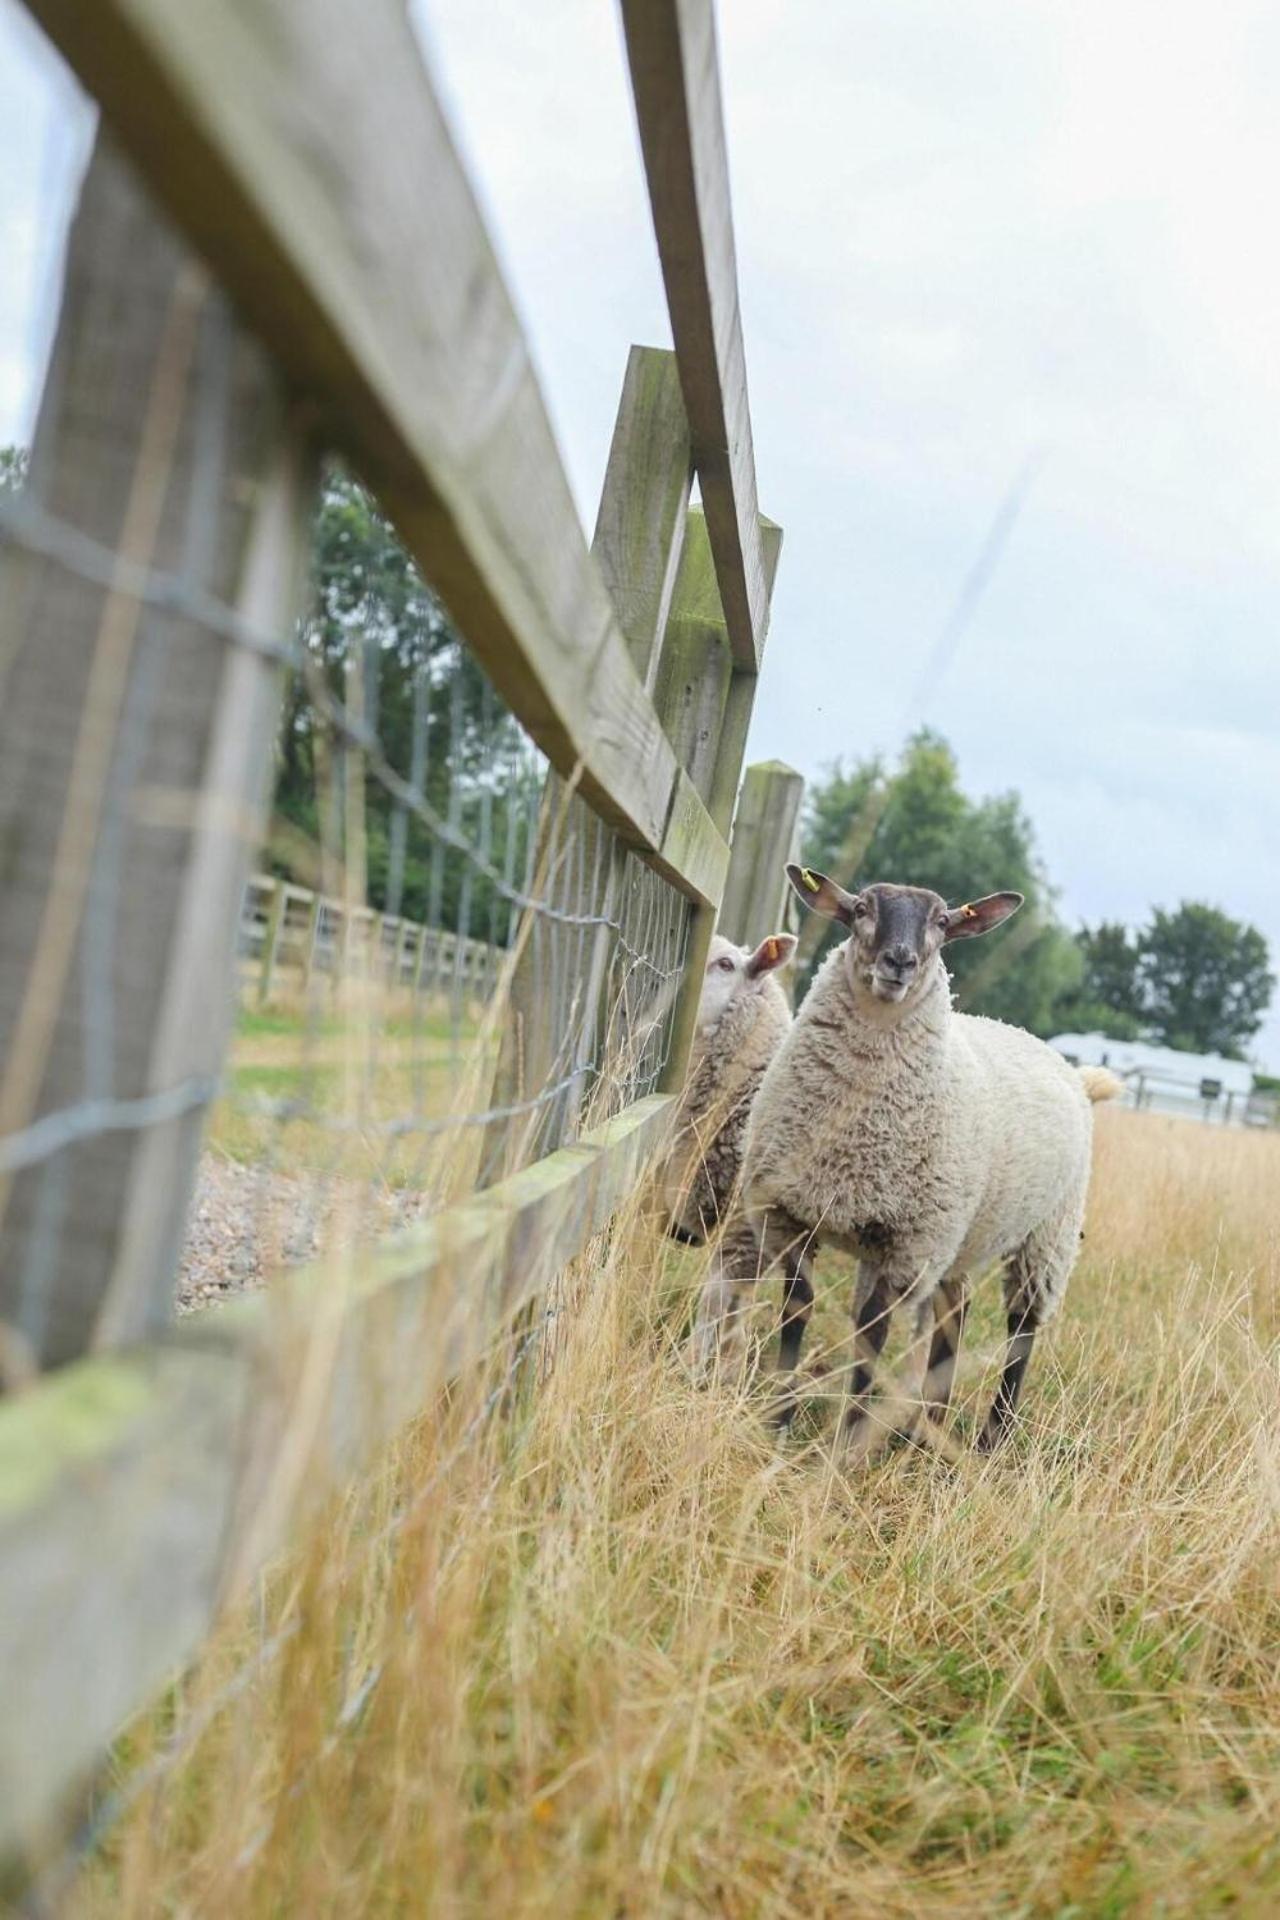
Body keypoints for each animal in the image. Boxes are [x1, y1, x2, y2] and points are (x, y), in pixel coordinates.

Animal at [694, 871, 1128, 1451]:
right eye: (860, 909)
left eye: (943, 922)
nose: (899, 961)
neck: (856, 1136)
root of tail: (1073, 1071)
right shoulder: (795, 1216)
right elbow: (797, 1310)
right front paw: (780, 1423)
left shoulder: (906, 1244)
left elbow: (871, 1332)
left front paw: (845, 1443)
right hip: (961, 1237)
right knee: (955, 1313)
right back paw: (927, 1426)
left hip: (1047, 1234)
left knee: (1022, 1328)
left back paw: (993, 1436)